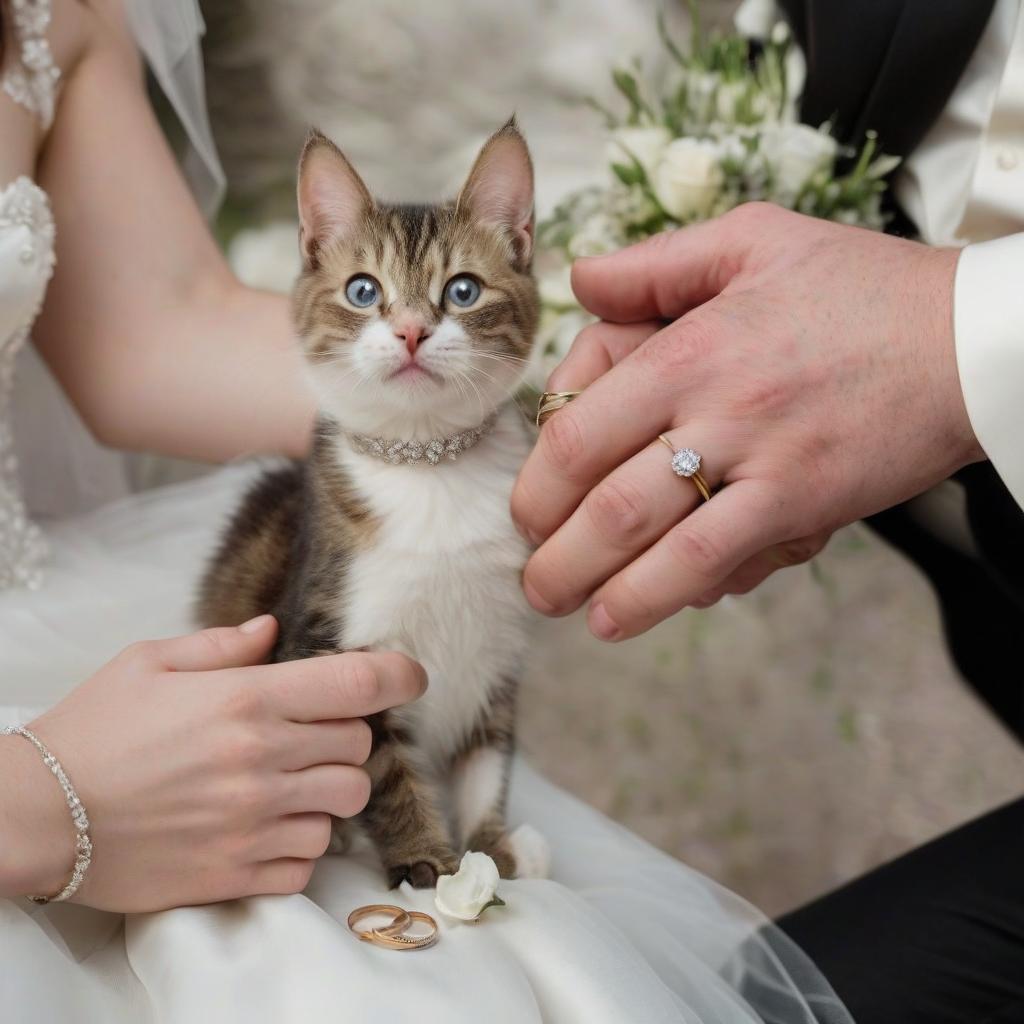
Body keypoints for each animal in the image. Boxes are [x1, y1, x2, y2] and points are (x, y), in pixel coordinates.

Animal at [195, 119, 540, 888]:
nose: (411, 330)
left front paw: (491, 845)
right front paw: (428, 858)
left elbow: (489, 747)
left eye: (463, 290)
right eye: (362, 290)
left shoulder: (502, 641)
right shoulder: (333, 645)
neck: (429, 465)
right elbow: (380, 765)